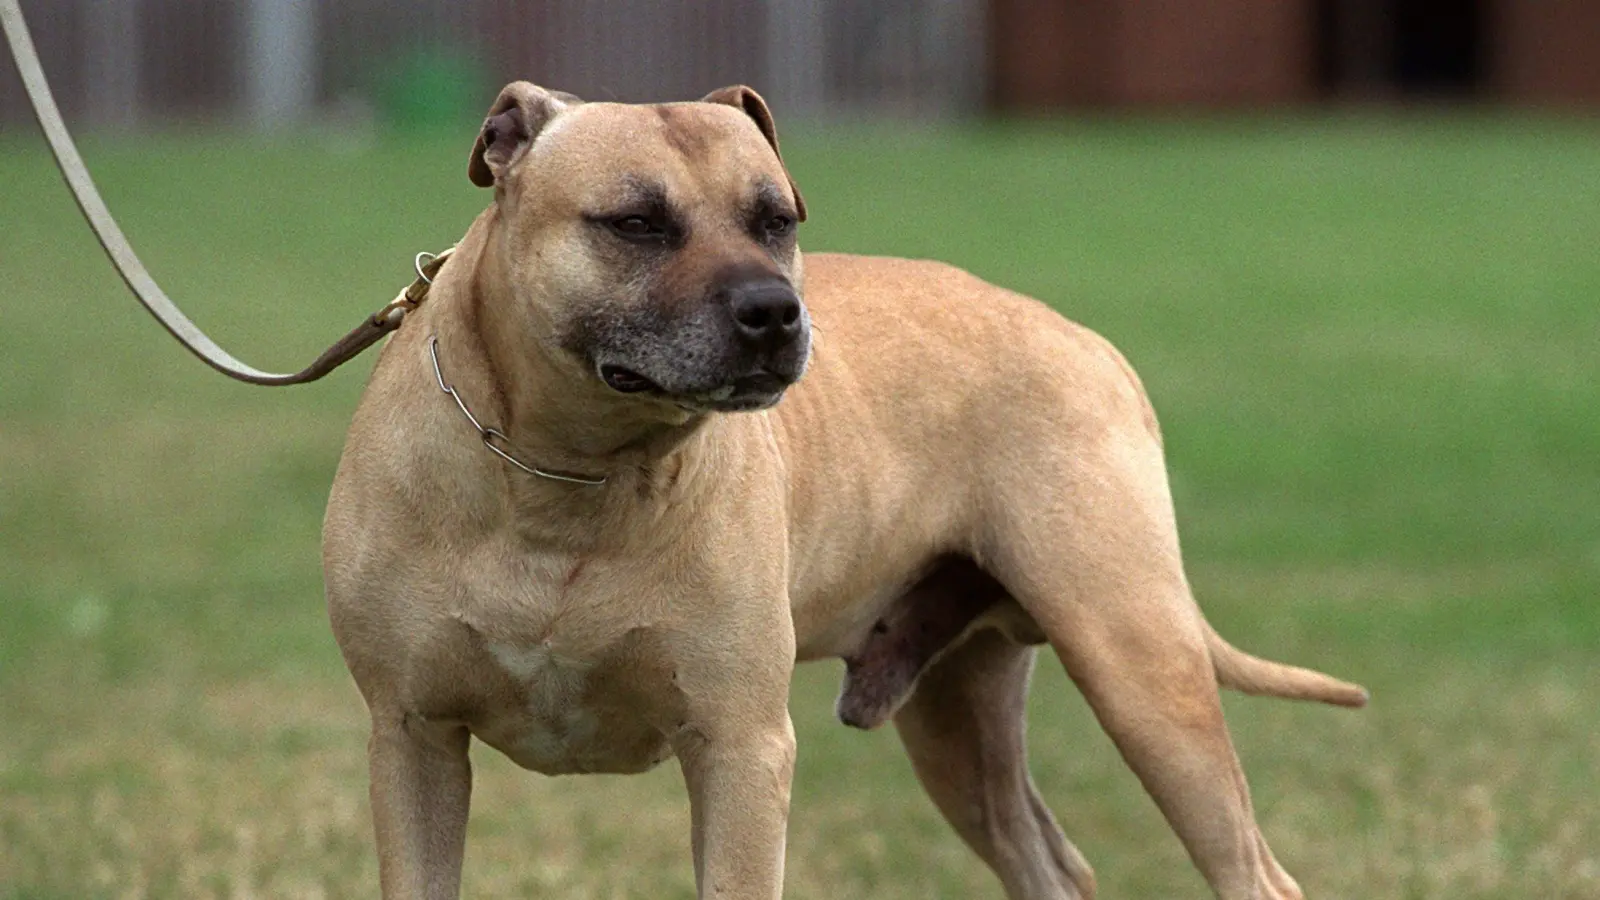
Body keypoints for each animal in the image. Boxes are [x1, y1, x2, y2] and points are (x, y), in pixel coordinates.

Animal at [321, 80, 1363, 890]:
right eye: (637, 223)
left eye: (776, 220)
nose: (775, 311)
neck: (565, 477)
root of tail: (1083, 340)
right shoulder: (413, 742)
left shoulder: (741, 750)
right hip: (961, 723)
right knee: (1049, 864)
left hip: (1140, 669)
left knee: (1251, 870)